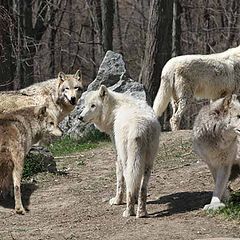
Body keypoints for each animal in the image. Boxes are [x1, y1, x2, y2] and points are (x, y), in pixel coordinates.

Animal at [79, 86, 160, 218]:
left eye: (93, 105)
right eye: (86, 105)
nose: (80, 117)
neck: (114, 109)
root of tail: (139, 127)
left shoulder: (118, 155)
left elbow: (119, 181)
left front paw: (117, 200)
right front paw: (135, 200)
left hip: (127, 159)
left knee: (129, 184)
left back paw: (129, 211)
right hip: (148, 163)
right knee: (143, 188)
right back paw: (141, 212)